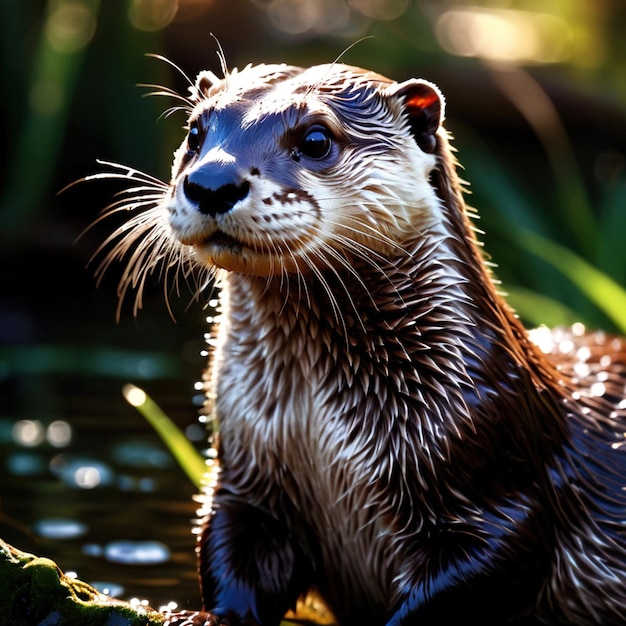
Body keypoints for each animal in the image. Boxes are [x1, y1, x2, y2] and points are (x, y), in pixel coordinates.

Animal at [95, 59, 624, 624]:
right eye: (196, 132)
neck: (317, 433)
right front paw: (210, 616)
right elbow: (233, 549)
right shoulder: (246, 479)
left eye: (316, 138)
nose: (212, 181)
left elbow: (498, 566)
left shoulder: (501, 486)